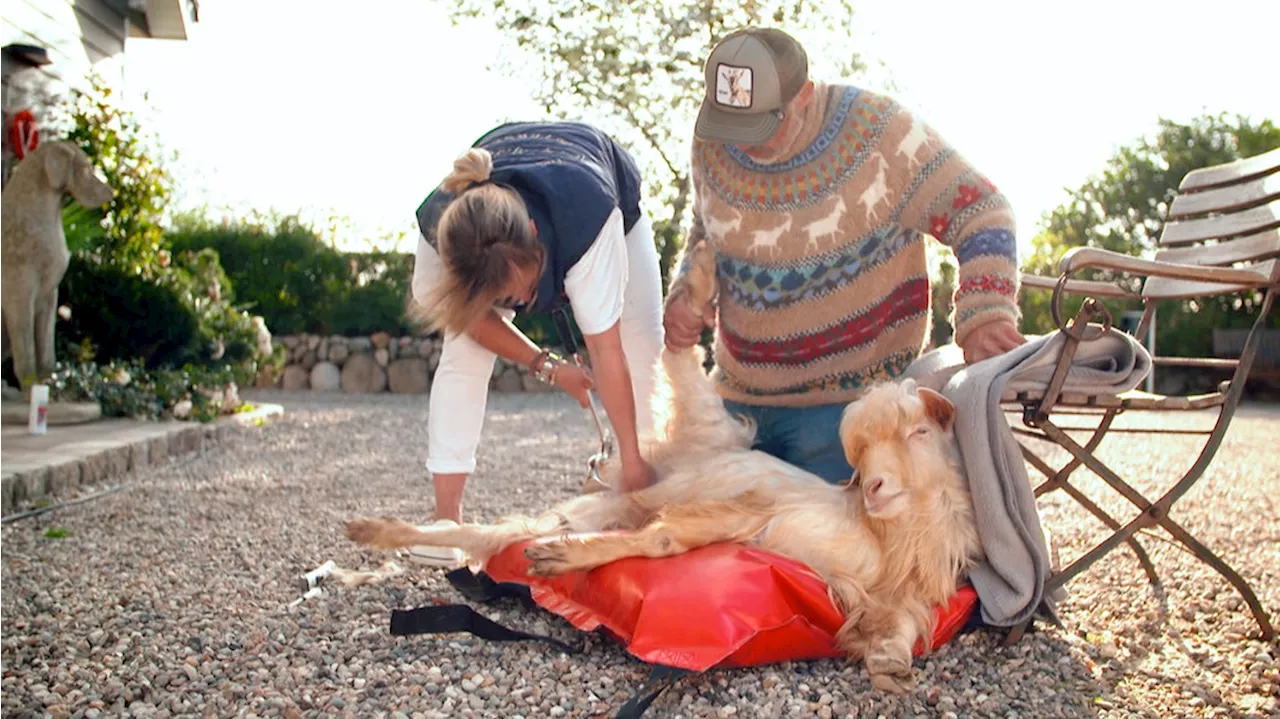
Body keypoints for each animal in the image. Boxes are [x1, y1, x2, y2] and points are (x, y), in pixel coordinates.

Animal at [343, 240, 977, 690]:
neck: (885, 534)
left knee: (493, 533)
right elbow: (665, 541)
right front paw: (567, 559)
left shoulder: (894, 595)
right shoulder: (753, 513)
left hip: (621, 490)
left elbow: (898, 630)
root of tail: (674, 457)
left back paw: (388, 533)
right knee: (678, 354)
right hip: (705, 422)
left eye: (920, 432)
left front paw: (891, 668)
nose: (873, 485)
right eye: (860, 453)